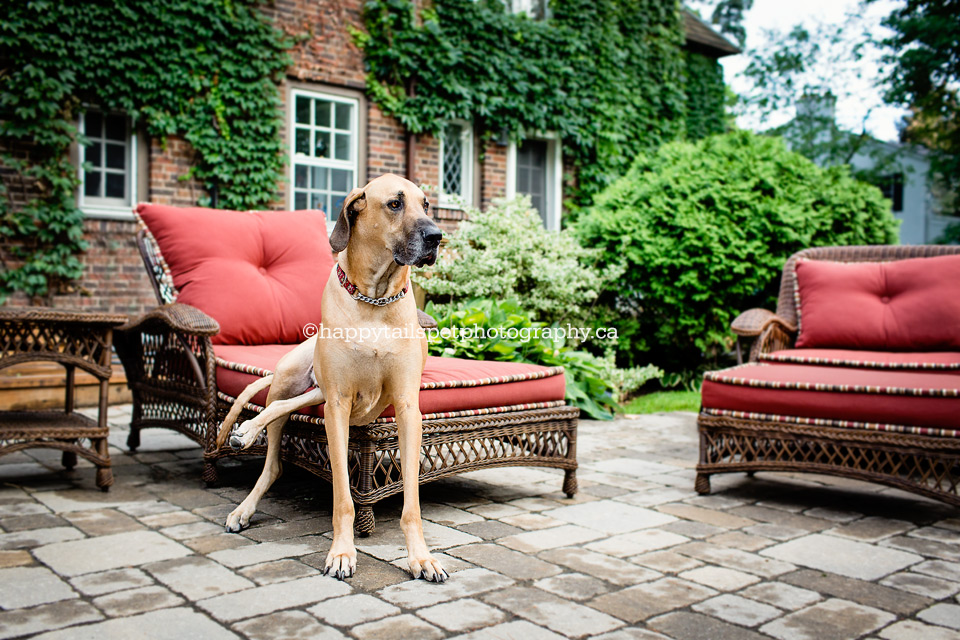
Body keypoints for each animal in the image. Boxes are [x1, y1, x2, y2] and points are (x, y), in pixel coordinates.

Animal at [214, 172, 446, 584]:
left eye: (427, 204)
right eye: (395, 204)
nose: (437, 236)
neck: (375, 300)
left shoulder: (407, 409)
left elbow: (412, 504)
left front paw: (421, 558)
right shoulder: (336, 406)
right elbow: (343, 498)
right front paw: (341, 553)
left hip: (318, 392)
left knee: (288, 410)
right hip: (295, 380)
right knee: (275, 446)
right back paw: (245, 484)